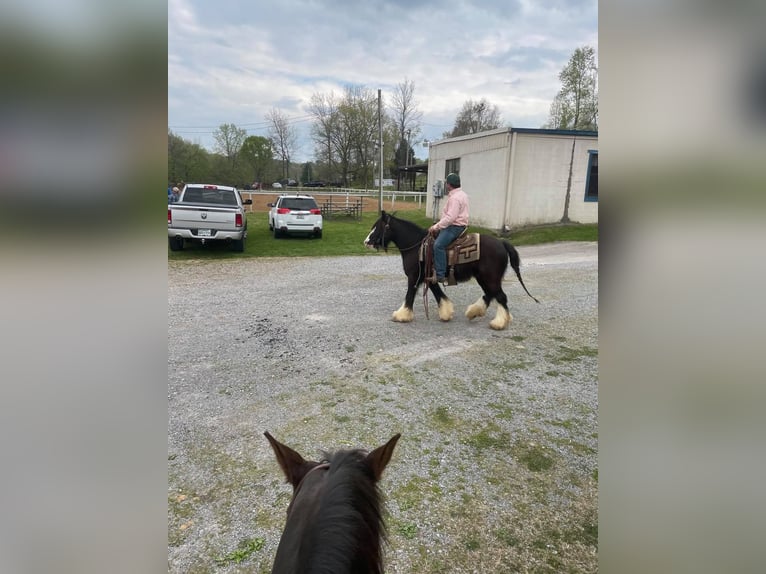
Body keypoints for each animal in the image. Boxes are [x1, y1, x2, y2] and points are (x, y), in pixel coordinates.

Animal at [364, 213, 540, 330]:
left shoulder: (414, 277)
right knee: (491, 295)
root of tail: (502, 243)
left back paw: (499, 322)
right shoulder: (428, 278)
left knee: (500, 296)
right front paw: (446, 313)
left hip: (490, 278)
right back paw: (474, 312)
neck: (417, 246)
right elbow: (439, 294)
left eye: (378, 227)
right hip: (484, 278)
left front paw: (401, 315)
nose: (366, 242)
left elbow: (410, 295)